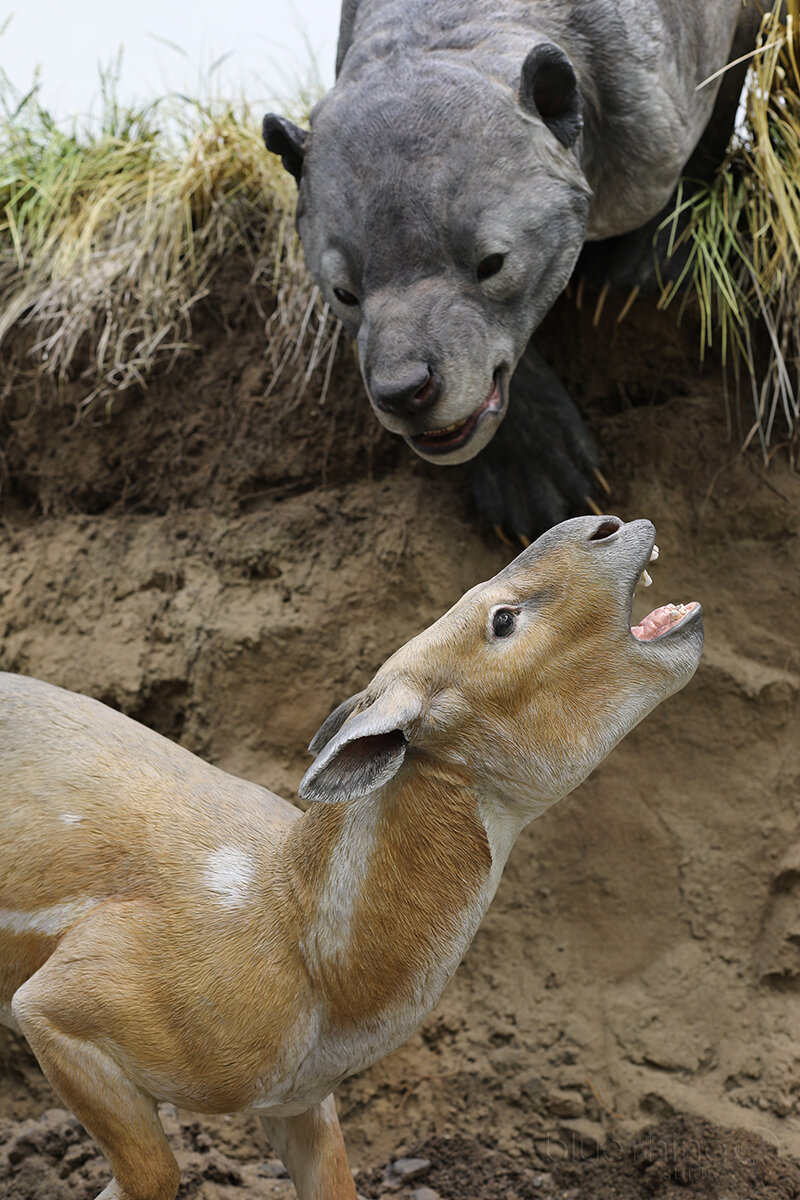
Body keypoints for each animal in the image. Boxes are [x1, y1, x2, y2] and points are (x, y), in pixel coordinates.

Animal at [264, 0, 760, 539]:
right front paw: (537, 476)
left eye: (492, 264)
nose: (405, 392)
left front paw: (649, 258)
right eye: (344, 293)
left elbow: (720, 103)